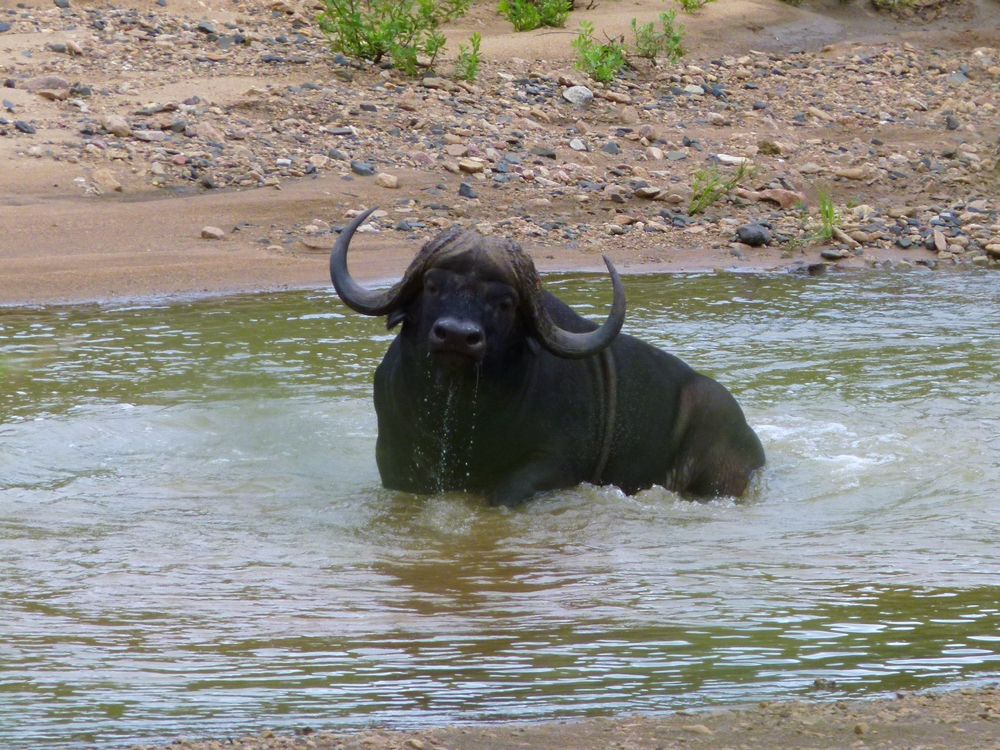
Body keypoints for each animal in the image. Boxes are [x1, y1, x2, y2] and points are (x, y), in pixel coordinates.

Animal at [330, 209, 764, 508]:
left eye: (504, 302)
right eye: (433, 285)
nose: (456, 335)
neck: (457, 419)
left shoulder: (552, 465)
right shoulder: (395, 459)